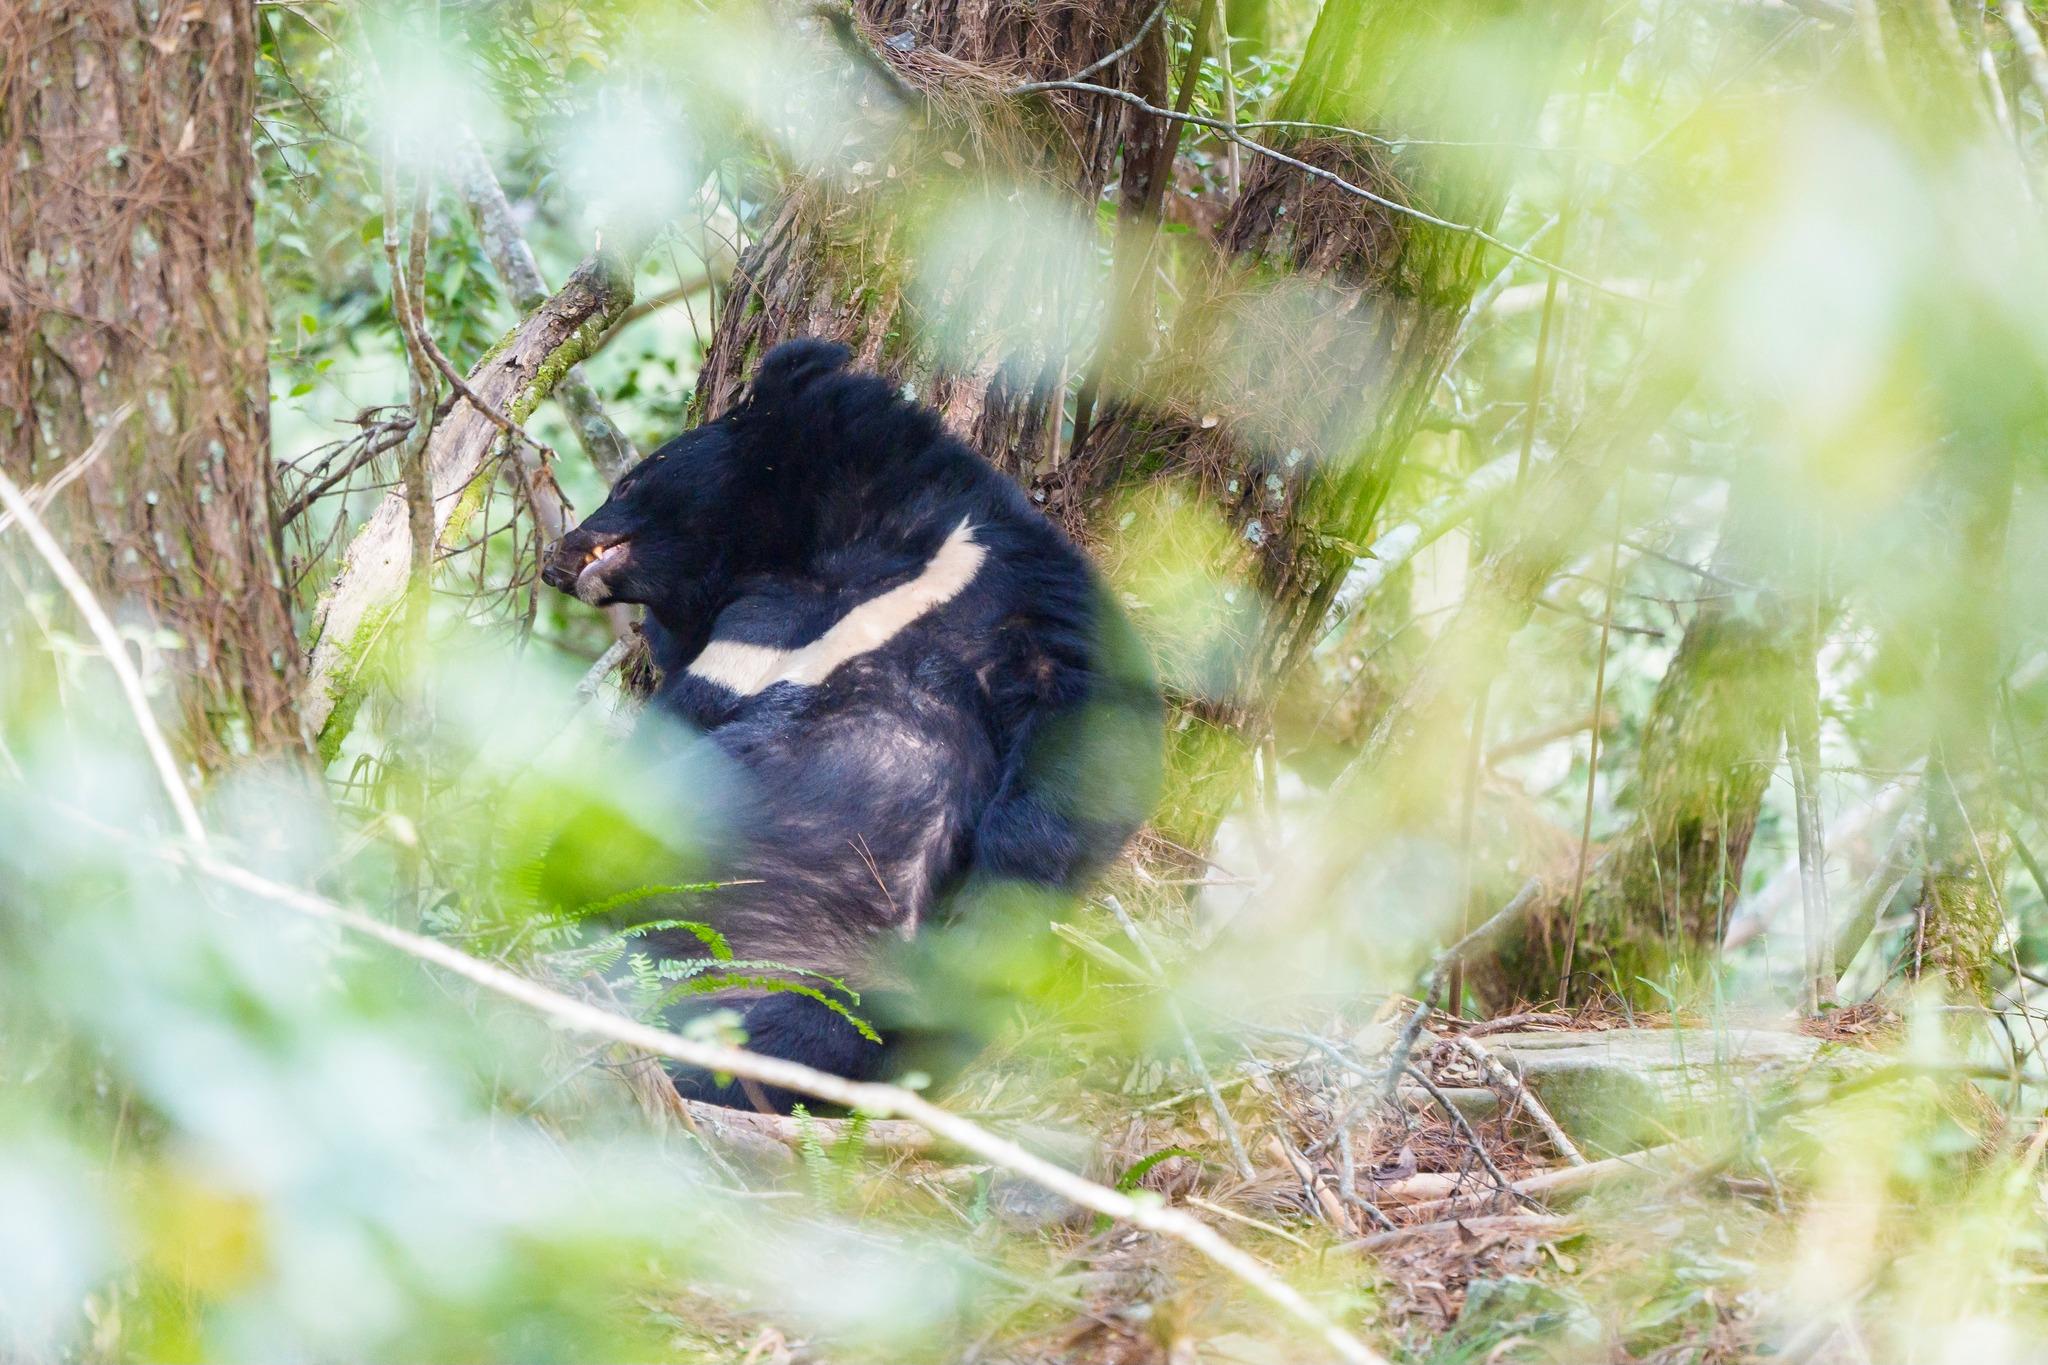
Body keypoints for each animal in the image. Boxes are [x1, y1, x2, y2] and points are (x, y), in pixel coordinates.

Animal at [541, 339, 1162, 1111]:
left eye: (633, 478)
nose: (556, 557)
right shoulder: (740, 642)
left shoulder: (1027, 591)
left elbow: (1099, 739)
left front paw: (981, 924)